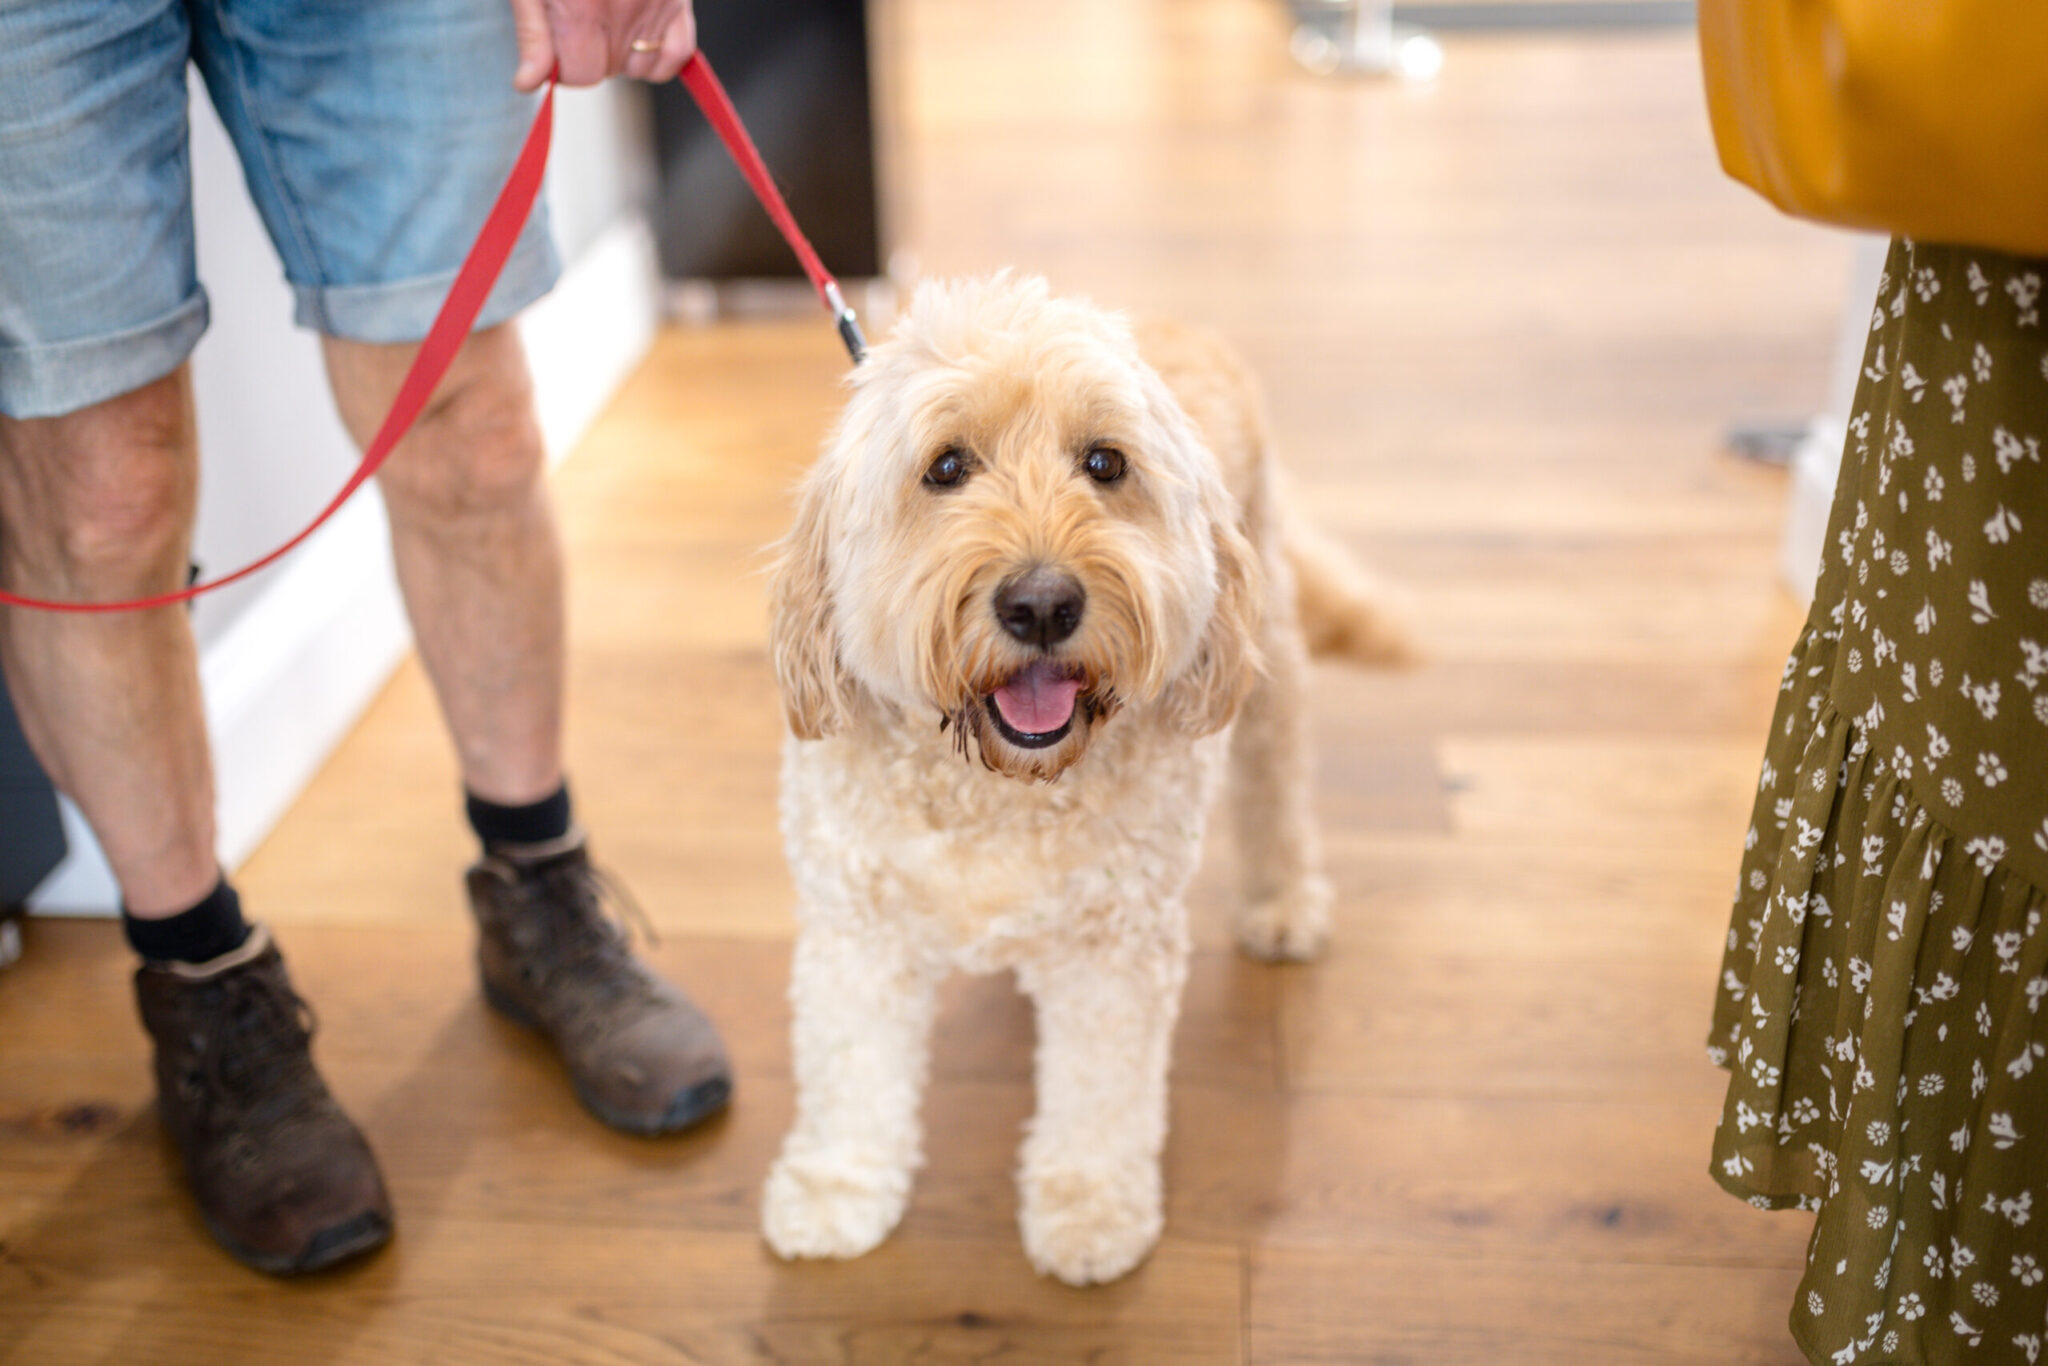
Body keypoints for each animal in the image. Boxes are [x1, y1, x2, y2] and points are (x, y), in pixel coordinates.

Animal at [761, 274, 1400, 1286]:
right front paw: (836, 1191)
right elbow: (851, 1072)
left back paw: (1286, 903)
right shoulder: (857, 932)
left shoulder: (1115, 951)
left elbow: (1101, 1095)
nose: (1041, 603)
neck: (997, 790)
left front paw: (1091, 1211)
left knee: (1278, 786)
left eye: (1104, 462)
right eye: (946, 467)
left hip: (1265, 664)